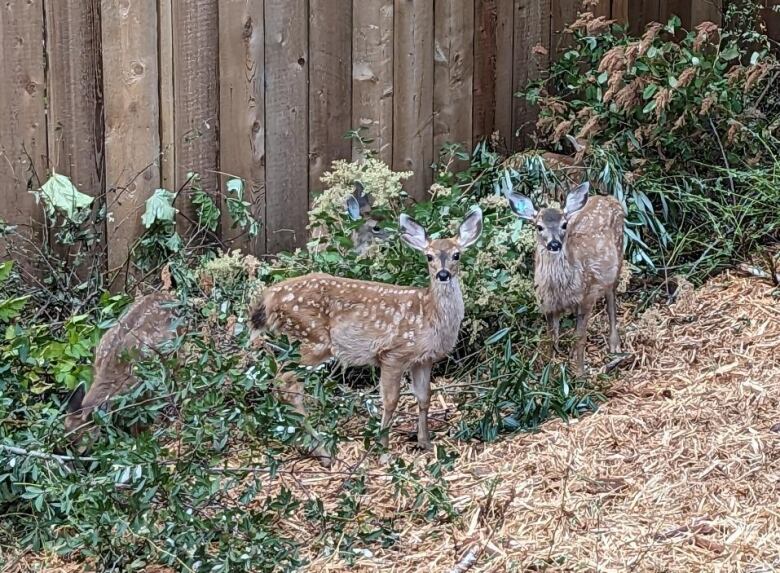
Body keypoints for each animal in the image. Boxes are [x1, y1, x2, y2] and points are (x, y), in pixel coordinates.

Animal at [250, 206, 482, 460]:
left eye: (456, 255)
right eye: (429, 256)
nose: (443, 274)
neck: (430, 314)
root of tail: (269, 298)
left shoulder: (422, 359)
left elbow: (424, 398)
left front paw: (426, 443)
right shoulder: (393, 353)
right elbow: (390, 401)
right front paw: (383, 450)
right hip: (312, 338)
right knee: (287, 382)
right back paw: (321, 450)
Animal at [502, 180, 624, 376]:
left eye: (564, 225)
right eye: (539, 226)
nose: (554, 244)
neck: (559, 289)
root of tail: (609, 198)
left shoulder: (588, 296)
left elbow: (581, 338)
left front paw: (580, 374)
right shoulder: (547, 305)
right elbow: (552, 340)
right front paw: (549, 374)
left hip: (619, 253)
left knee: (611, 297)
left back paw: (615, 345)